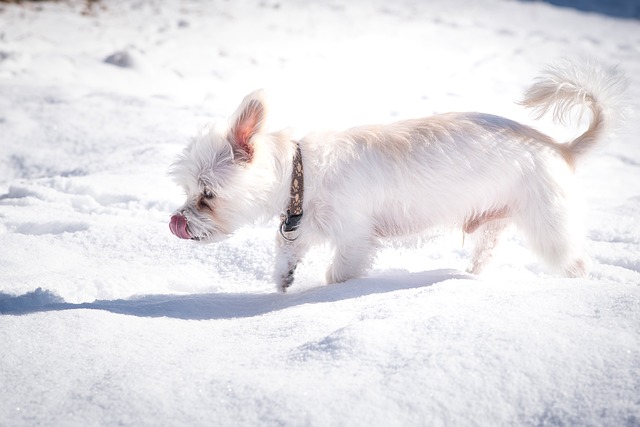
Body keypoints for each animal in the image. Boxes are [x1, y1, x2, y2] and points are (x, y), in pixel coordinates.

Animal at [169, 60, 624, 292]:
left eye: (207, 195)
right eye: (189, 191)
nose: (178, 221)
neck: (303, 175)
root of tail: (562, 148)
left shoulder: (355, 238)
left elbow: (340, 273)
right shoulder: (302, 227)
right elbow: (287, 251)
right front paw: (284, 280)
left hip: (549, 227)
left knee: (575, 262)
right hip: (493, 223)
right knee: (486, 255)